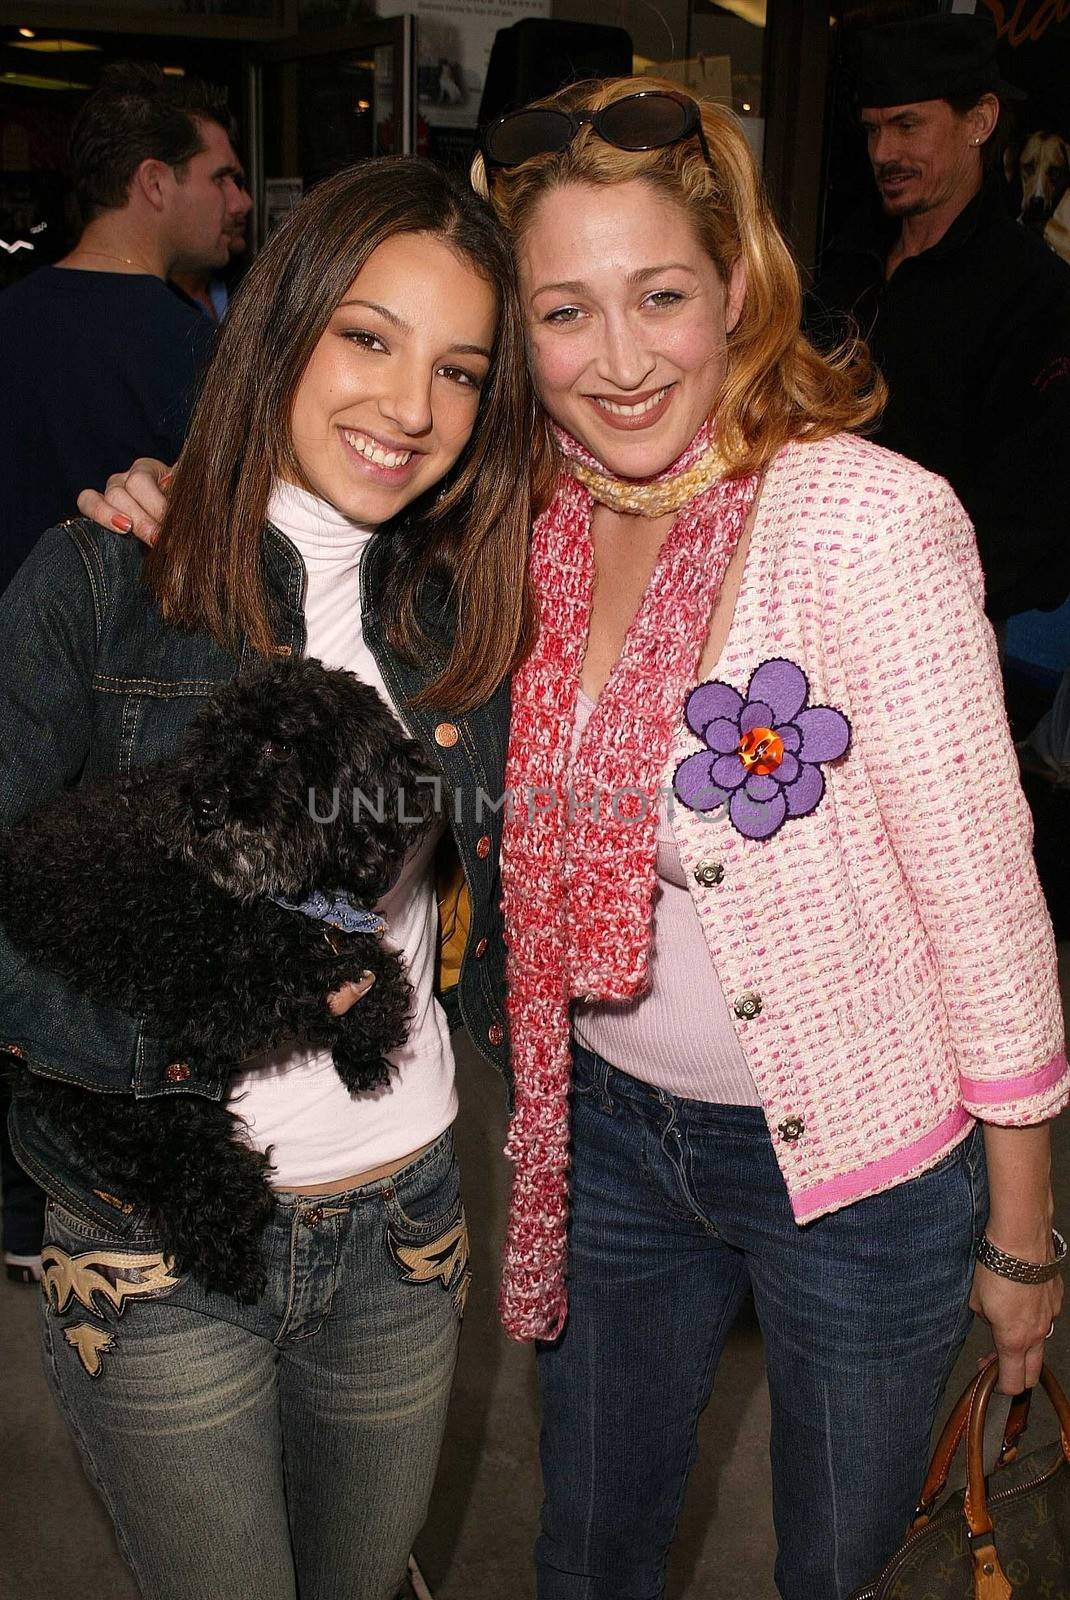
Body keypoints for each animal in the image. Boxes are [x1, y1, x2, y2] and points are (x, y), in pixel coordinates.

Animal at [2, 659, 435, 1299]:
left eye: (281, 745)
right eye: (213, 742)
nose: (204, 803)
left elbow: (368, 966)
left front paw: (363, 1045)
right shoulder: (215, 990)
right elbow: (324, 969)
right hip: (102, 1073)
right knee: (161, 1145)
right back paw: (227, 1239)